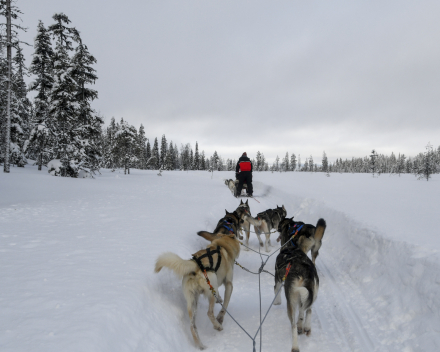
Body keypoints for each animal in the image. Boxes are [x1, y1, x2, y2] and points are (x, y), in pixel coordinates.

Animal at [155, 210, 242, 350]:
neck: (221, 245)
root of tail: (195, 265)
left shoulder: (215, 287)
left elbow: (220, 296)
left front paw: (220, 300)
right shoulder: (228, 284)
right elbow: (225, 305)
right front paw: (221, 317)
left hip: (192, 302)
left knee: (192, 326)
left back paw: (200, 345)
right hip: (209, 292)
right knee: (209, 313)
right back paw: (217, 326)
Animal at [274, 223, 318, 352]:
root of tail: (303, 273)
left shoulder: (278, 279)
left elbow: (276, 290)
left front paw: (276, 302)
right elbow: (303, 311)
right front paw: (301, 324)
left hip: (291, 303)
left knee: (293, 325)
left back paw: (295, 346)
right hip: (313, 292)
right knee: (308, 310)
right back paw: (306, 327)